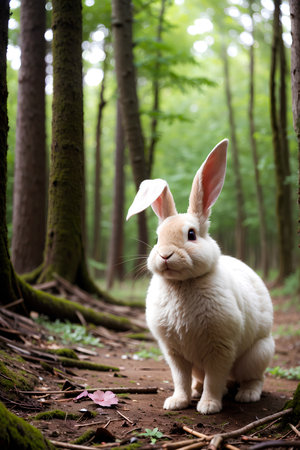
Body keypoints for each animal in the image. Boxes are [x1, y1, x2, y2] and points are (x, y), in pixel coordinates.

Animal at [126, 139, 274, 414]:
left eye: (191, 234)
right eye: (157, 237)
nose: (165, 255)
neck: (182, 284)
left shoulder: (220, 348)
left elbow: (214, 379)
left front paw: (208, 406)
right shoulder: (174, 352)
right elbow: (180, 378)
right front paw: (176, 402)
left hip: (257, 354)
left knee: (252, 378)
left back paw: (246, 395)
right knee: (199, 378)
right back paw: (197, 391)